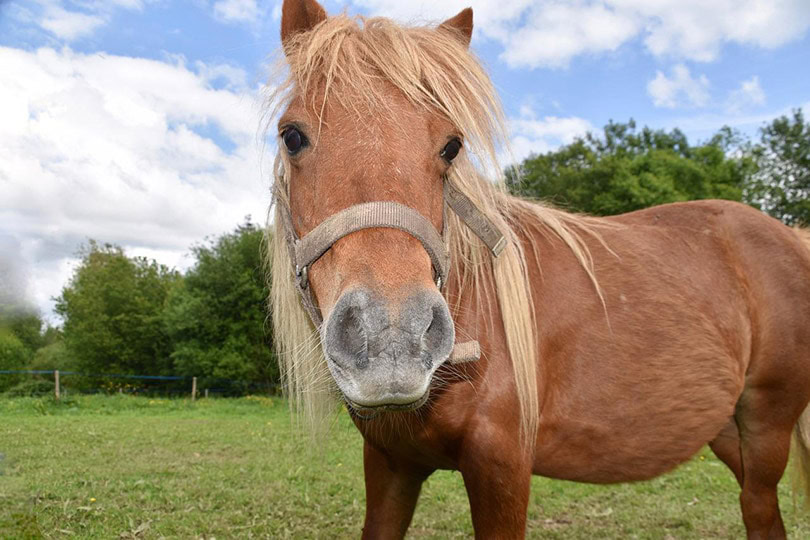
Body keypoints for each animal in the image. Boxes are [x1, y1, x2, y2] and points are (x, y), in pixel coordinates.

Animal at [267, 1, 810, 537]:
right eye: (292, 136)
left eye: (451, 146)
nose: (391, 338)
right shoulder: (390, 464)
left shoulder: (501, 467)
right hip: (726, 428)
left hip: (766, 424)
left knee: (760, 506)